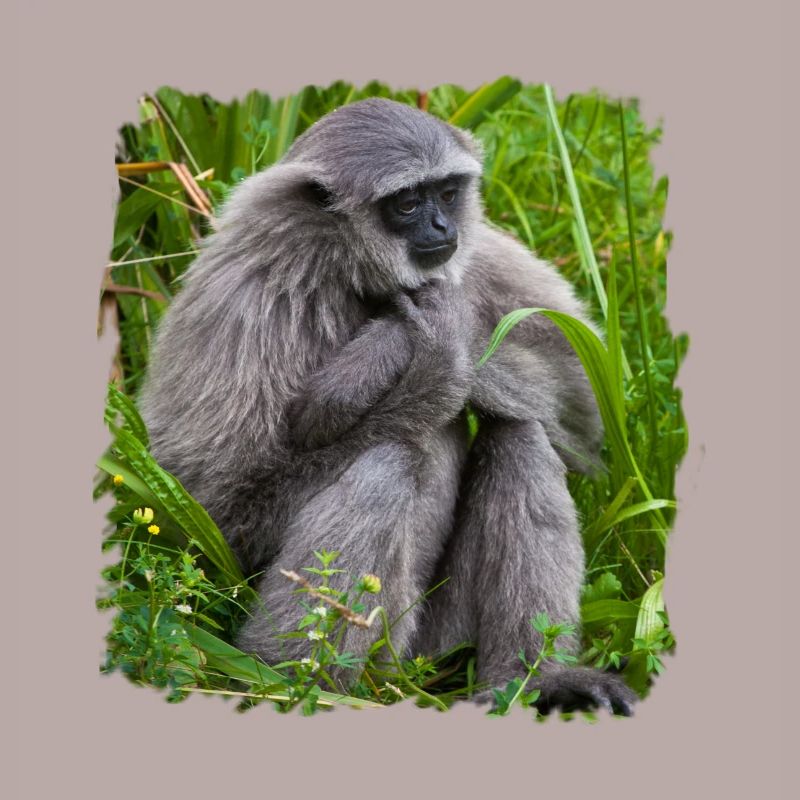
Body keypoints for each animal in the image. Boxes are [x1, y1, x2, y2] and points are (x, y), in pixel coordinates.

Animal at [139, 97, 637, 715]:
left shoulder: (472, 252)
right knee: (388, 462)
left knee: (519, 433)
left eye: (446, 192)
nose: (443, 225)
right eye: (407, 203)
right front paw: (422, 361)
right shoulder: (246, 294)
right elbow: (220, 506)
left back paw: (532, 678)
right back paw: (297, 683)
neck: (347, 271)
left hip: (439, 639)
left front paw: (400, 340)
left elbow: (581, 400)